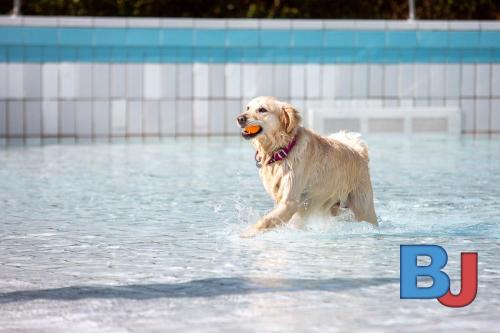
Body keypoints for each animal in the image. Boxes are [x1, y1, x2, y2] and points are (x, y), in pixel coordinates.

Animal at [236, 96, 376, 236]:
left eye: (262, 109)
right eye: (247, 108)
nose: (239, 118)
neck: (283, 149)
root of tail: (360, 153)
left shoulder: (290, 202)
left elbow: (266, 220)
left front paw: (245, 233)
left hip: (363, 209)